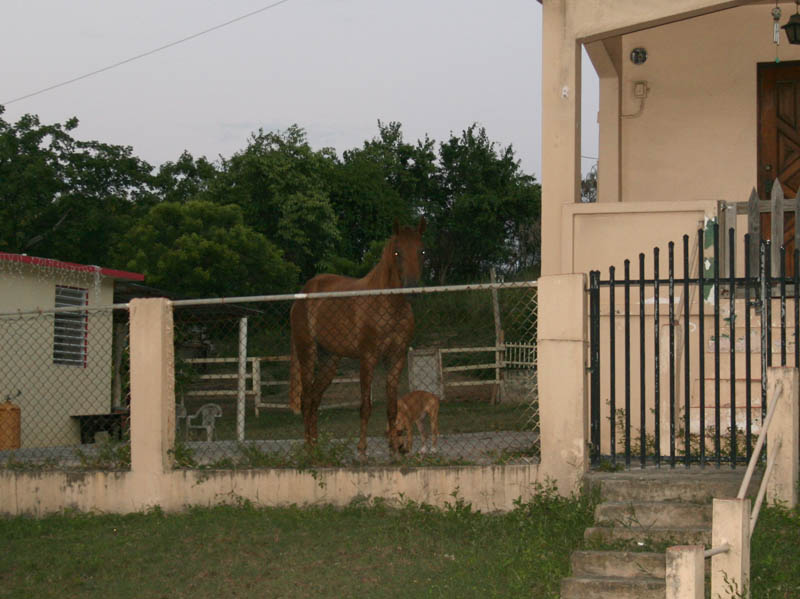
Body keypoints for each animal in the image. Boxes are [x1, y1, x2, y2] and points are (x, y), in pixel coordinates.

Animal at [288, 218, 424, 458]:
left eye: (421, 250)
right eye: (397, 252)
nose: (412, 289)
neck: (387, 304)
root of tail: (302, 296)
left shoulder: (396, 358)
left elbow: (392, 407)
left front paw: (394, 449)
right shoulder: (368, 358)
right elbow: (365, 407)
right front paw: (362, 449)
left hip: (330, 360)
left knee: (314, 399)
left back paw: (316, 445)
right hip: (308, 353)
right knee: (306, 399)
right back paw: (309, 449)